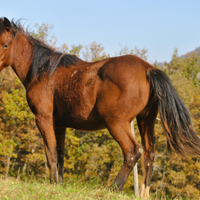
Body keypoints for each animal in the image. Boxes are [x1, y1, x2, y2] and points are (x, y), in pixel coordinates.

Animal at [0, 17, 200, 198]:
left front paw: (53, 184)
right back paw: (143, 194)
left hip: (117, 123)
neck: (44, 72)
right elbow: (60, 155)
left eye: (5, 45)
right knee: (149, 154)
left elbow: (51, 154)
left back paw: (114, 188)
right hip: (146, 120)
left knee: (132, 151)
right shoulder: (59, 125)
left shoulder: (43, 119)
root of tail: (147, 69)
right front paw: (60, 185)